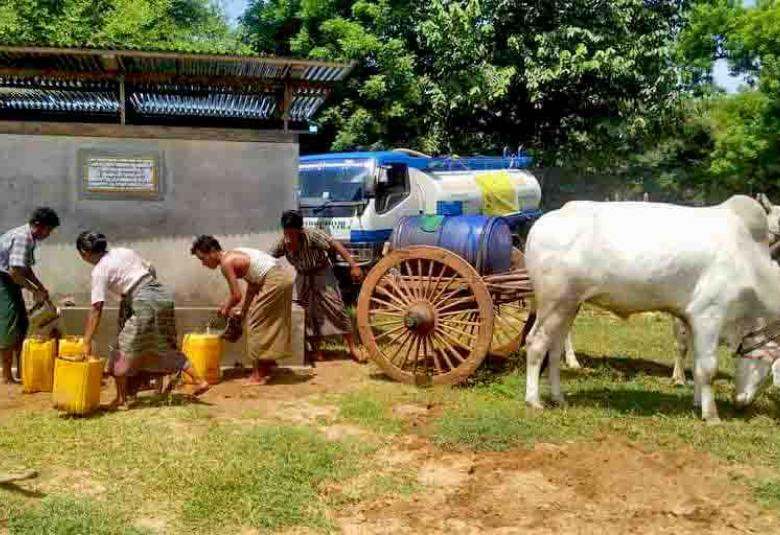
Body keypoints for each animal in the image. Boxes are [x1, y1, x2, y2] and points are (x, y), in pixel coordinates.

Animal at [524, 195, 780, 422]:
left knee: (554, 348)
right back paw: (533, 400)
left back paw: (558, 397)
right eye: (767, 365)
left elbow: (696, 362)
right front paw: (711, 415)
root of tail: (544, 222)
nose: (742, 402)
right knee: (535, 343)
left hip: (569, 305)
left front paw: (697, 402)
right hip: (553, 302)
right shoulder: (709, 314)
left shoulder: (691, 320)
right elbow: (708, 367)